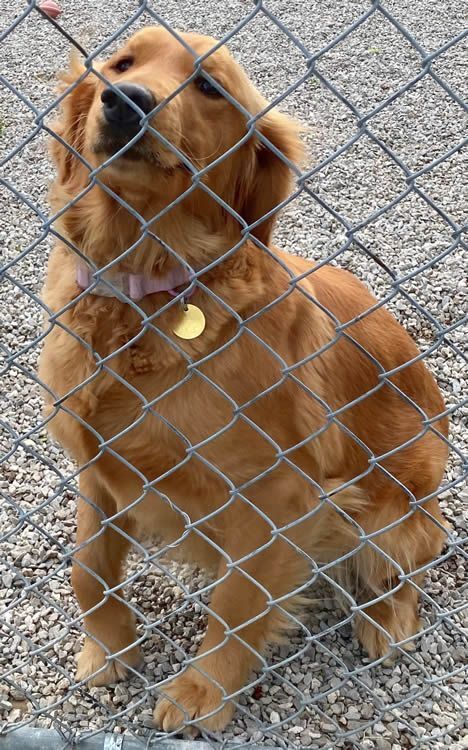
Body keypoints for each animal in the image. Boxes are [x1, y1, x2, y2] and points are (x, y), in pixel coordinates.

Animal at [38, 26, 448, 732]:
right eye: (120, 63)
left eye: (209, 86)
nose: (126, 100)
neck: (146, 286)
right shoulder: (98, 465)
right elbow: (86, 566)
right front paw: (108, 647)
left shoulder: (278, 497)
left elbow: (236, 607)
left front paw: (203, 693)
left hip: (395, 509)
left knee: (408, 563)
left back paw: (386, 619)